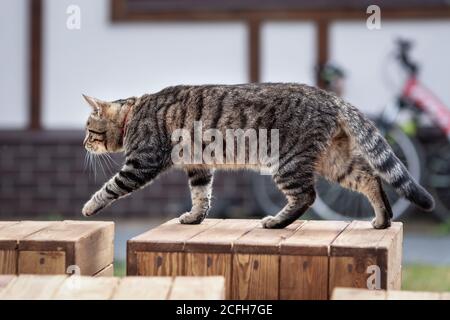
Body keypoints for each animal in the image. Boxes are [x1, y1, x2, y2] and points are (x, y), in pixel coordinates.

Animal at [81, 83, 432, 228]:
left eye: (87, 128)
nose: (83, 143)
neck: (133, 113)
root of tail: (329, 96)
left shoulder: (142, 162)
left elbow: (110, 187)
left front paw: (89, 206)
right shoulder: (199, 167)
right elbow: (201, 197)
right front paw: (194, 218)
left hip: (287, 161)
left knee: (307, 196)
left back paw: (276, 222)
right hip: (336, 161)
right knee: (370, 178)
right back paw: (383, 220)